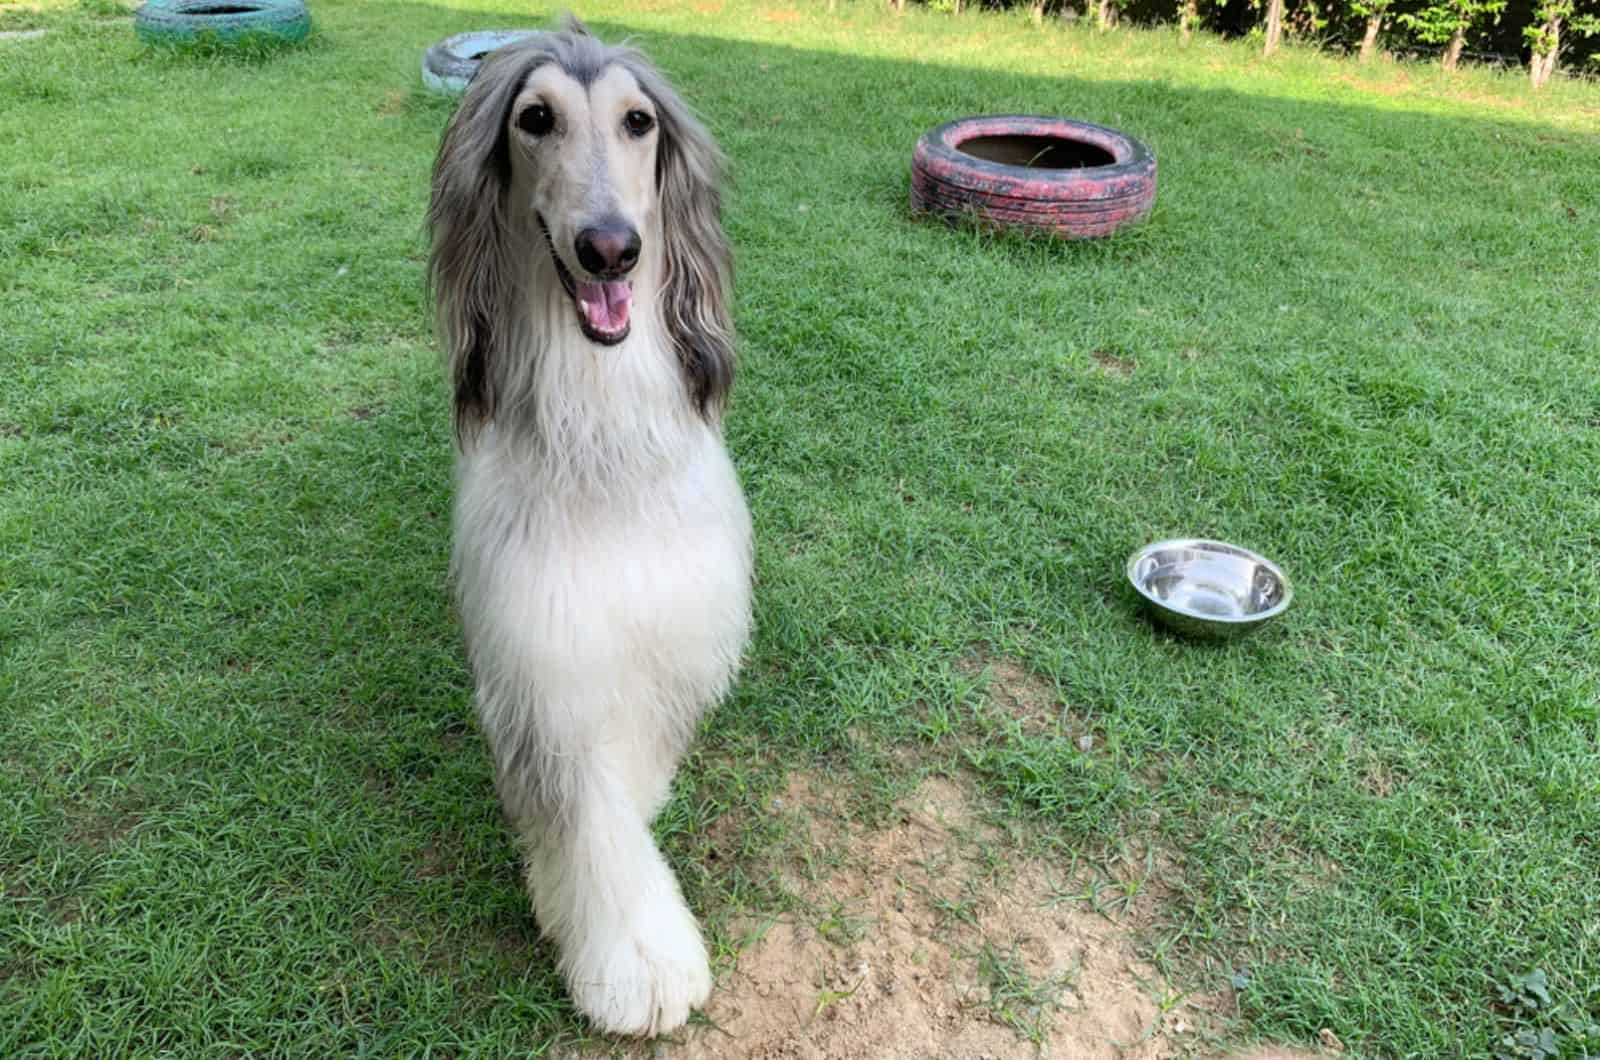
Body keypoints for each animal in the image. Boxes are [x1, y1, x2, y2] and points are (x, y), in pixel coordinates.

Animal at [425, 20, 748, 1043]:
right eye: (536, 120)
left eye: (638, 122)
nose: (610, 250)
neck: (601, 414)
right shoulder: (543, 643)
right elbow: (588, 808)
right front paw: (634, 954)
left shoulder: (672, 611)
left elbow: (634, 762)